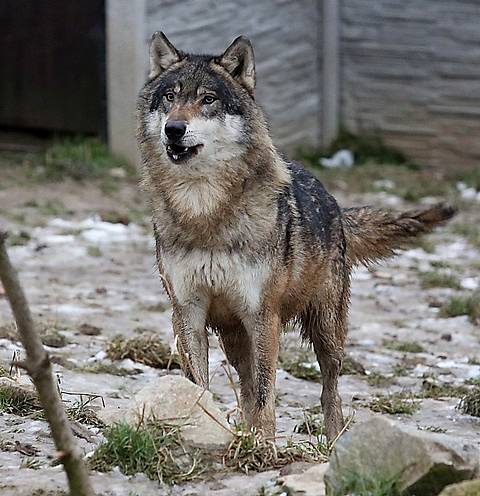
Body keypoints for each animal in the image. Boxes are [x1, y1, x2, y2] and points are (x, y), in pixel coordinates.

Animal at [137, 32, 456, 442]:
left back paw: (333, 444)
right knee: (245, 387)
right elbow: (201, 385)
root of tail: (336, 204)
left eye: (208, 99)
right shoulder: (187, 312)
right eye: (169, 97)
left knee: (329, 391)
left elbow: (264, 393)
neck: (205, 211)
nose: (174, 129)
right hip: (234, 335)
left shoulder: (262, 315)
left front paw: (263, 447)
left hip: (326, 331)